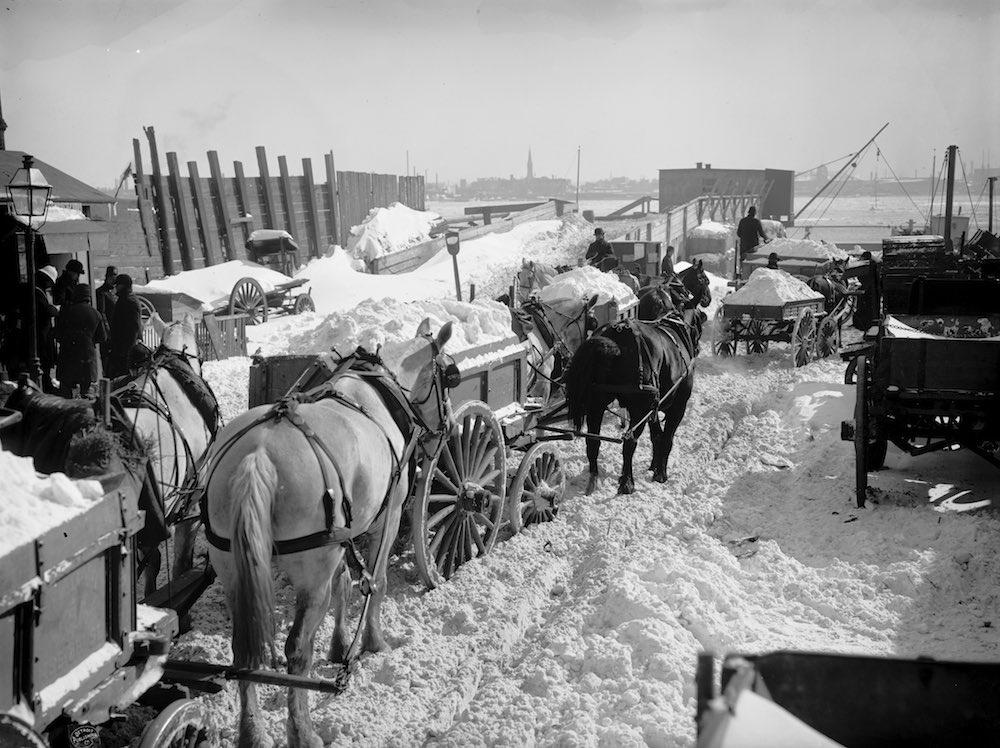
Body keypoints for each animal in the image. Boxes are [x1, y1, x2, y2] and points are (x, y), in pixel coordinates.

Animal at [205, 318, 456, 744]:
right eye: (450, 375)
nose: (449, 426)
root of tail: (258, 455)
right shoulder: (386, 517)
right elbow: (376, 583)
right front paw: (372, 641)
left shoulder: (343, 537)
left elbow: (344, 584)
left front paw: (340, 646)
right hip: (311, 570)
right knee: (296, 651)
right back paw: (303, 732)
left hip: (233, 566)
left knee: (243, 652)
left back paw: (252, 732)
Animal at [568, 306, 708, 494]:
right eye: (699, 323)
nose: (698, 347)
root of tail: (616, 336)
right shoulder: (678, 406)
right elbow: (666, 439)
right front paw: (660, 473)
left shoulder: (652, 408)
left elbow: (657, 436)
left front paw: (654, 466)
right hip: (638, 409)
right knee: (629, 441)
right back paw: (627, 482)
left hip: (596, 404)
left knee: (593, 441)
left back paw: (593, 479)